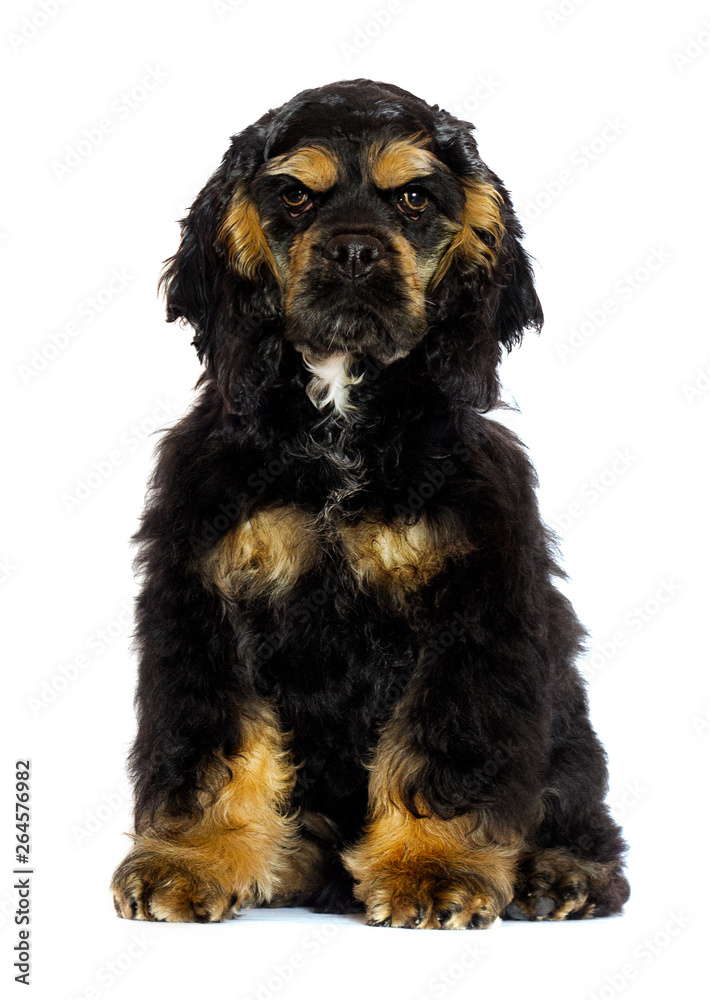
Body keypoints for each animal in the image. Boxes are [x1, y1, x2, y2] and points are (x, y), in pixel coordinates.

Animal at [112, 78, 636, 928]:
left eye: (414, 198)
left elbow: (440, 750)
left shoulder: (473, 613)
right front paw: (191, 862)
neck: (341, 422)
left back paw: (562, 874)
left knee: (577, 806)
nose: (355, 252)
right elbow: (213, 746)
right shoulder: (204, 601)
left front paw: (431, 869)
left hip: (565, 714)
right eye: (295, 196)